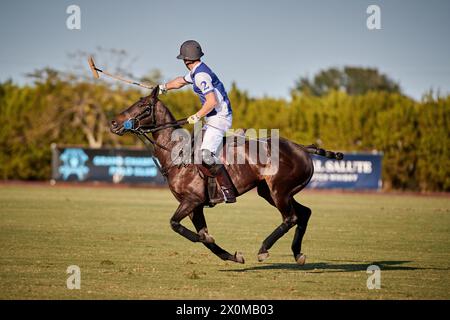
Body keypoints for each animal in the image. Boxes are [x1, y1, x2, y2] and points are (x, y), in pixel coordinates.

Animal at [110, 87, 342, 264]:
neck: (178, 153)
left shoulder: (192, 200)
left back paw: (263, 249)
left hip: (279, 191)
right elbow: (202, 235)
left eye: (143, 106)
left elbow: (177, 225)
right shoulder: (194, 206)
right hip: (271, 191)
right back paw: (297, 253)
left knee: (291, 217)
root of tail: (302, 148)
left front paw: (212, 241)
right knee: (304, 213)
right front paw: (233, 256)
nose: (113, 123)